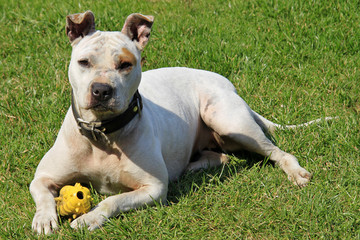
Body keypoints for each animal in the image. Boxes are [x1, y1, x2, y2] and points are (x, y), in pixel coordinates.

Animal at [29, 11, 320, 234]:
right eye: (84, 62)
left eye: (125, 64)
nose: (101, 90)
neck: (103, 135)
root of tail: (229, 85)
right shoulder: (42, 176)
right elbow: (42, 193)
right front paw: (45, 219)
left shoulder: (153, 188)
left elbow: (114, 200)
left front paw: (89, 217)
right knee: (221, 156)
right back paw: (190, 167)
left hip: (228, 121)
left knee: (278, 152)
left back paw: (296, 172)